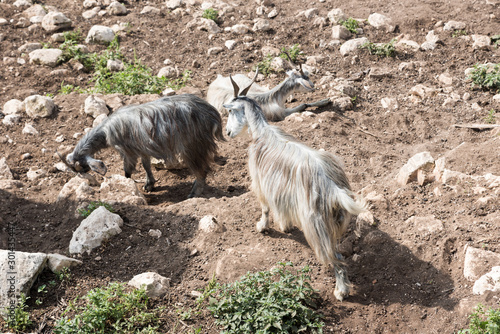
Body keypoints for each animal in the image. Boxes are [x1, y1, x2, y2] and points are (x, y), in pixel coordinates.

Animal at [225, 74, 366, 302]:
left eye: (230, 110)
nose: (228, 132)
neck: (261, 132)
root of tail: (333, 189)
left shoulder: (260, 182)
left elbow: (265, 207)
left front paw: (263, 226)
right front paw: (287, 225)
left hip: (316, 227)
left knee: (335, 257)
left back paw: (341, 291)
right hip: (335, 222)